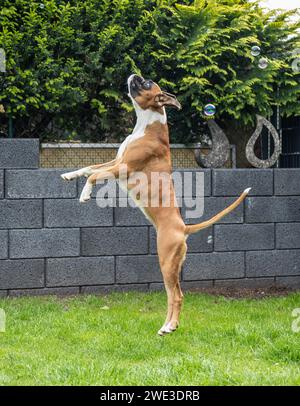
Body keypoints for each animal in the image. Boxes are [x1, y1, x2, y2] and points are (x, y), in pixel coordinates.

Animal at [61, 73, 251, 336]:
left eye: (147, 84)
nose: (135, 74)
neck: (146, 125)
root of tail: (183, 228)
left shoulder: (122, 168)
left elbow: (94, 176)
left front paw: (85, 194)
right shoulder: (114, 162)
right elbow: (89, 168)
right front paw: (69, 175)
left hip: (166, 262)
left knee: (177, 296)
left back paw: (169, 326)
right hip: (171, 265)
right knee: (173, 296)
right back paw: (169, 326)